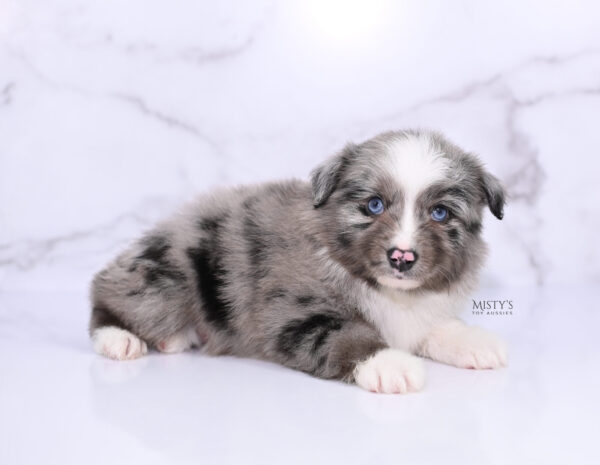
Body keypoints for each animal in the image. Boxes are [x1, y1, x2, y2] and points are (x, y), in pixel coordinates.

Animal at [91, 129, 508, 394]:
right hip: (166, 277)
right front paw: (388, 363)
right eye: (373, 206)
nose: (402, 257)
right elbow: (346, 335)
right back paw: (118, 338)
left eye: (440, 213)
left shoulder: (418, 311)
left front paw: (474, 341)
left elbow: (436, 326)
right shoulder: (293, 314)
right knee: (106, 291)